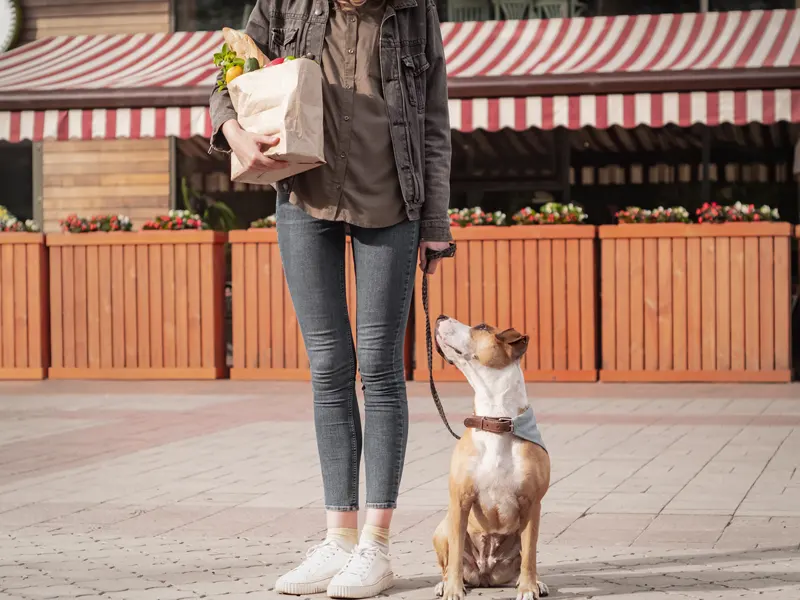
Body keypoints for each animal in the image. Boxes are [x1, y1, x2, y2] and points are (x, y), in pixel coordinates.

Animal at [432, 316, 552, 596]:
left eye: (483, 327)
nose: (440, 317)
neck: (496, 420)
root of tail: (485, 576)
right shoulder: (460, 501)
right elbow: (455, 556)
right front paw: (453, 590)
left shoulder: (532, 504)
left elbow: (530, 555)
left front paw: (528, 588)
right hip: (442, 528)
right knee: (448, 562)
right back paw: (444, 584)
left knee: (526, 557)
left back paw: (534, 582)